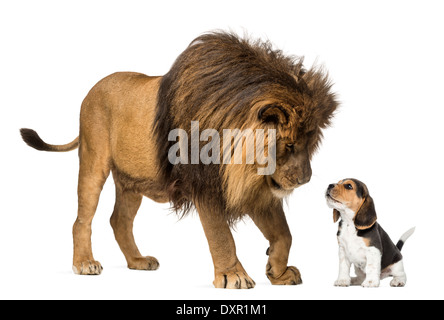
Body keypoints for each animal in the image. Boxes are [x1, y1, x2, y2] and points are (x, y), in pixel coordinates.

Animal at [20, 31, 336, 288]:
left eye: (310, 145)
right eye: (290, 144)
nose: (305, 179)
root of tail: (92, 89)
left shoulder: (256, 187)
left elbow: (284, 234)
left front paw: (277, 271)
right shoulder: (207, 184)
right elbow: (221, 235)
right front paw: (233, 276)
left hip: (131, 181)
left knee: (119, 220)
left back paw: (138, 261)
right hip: (93, 160)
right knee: (82, 219)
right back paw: (85, 263)